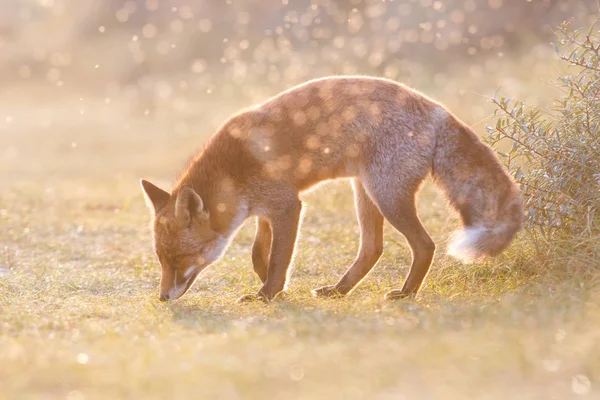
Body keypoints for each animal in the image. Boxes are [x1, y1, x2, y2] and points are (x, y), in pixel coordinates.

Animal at [143, 75, 524, 302]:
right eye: (161, 259)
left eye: (178, 259)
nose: (161, 297)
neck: (233, 168)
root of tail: (439, 111)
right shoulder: (266, 210)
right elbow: (258, 252)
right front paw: (270, 282)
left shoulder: (288, 206)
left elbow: (279, 257)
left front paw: (268, 293)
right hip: (365, 194)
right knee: (373, 249)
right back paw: (340, 290)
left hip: (386, 195)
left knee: (424, 245)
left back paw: (405, 294)